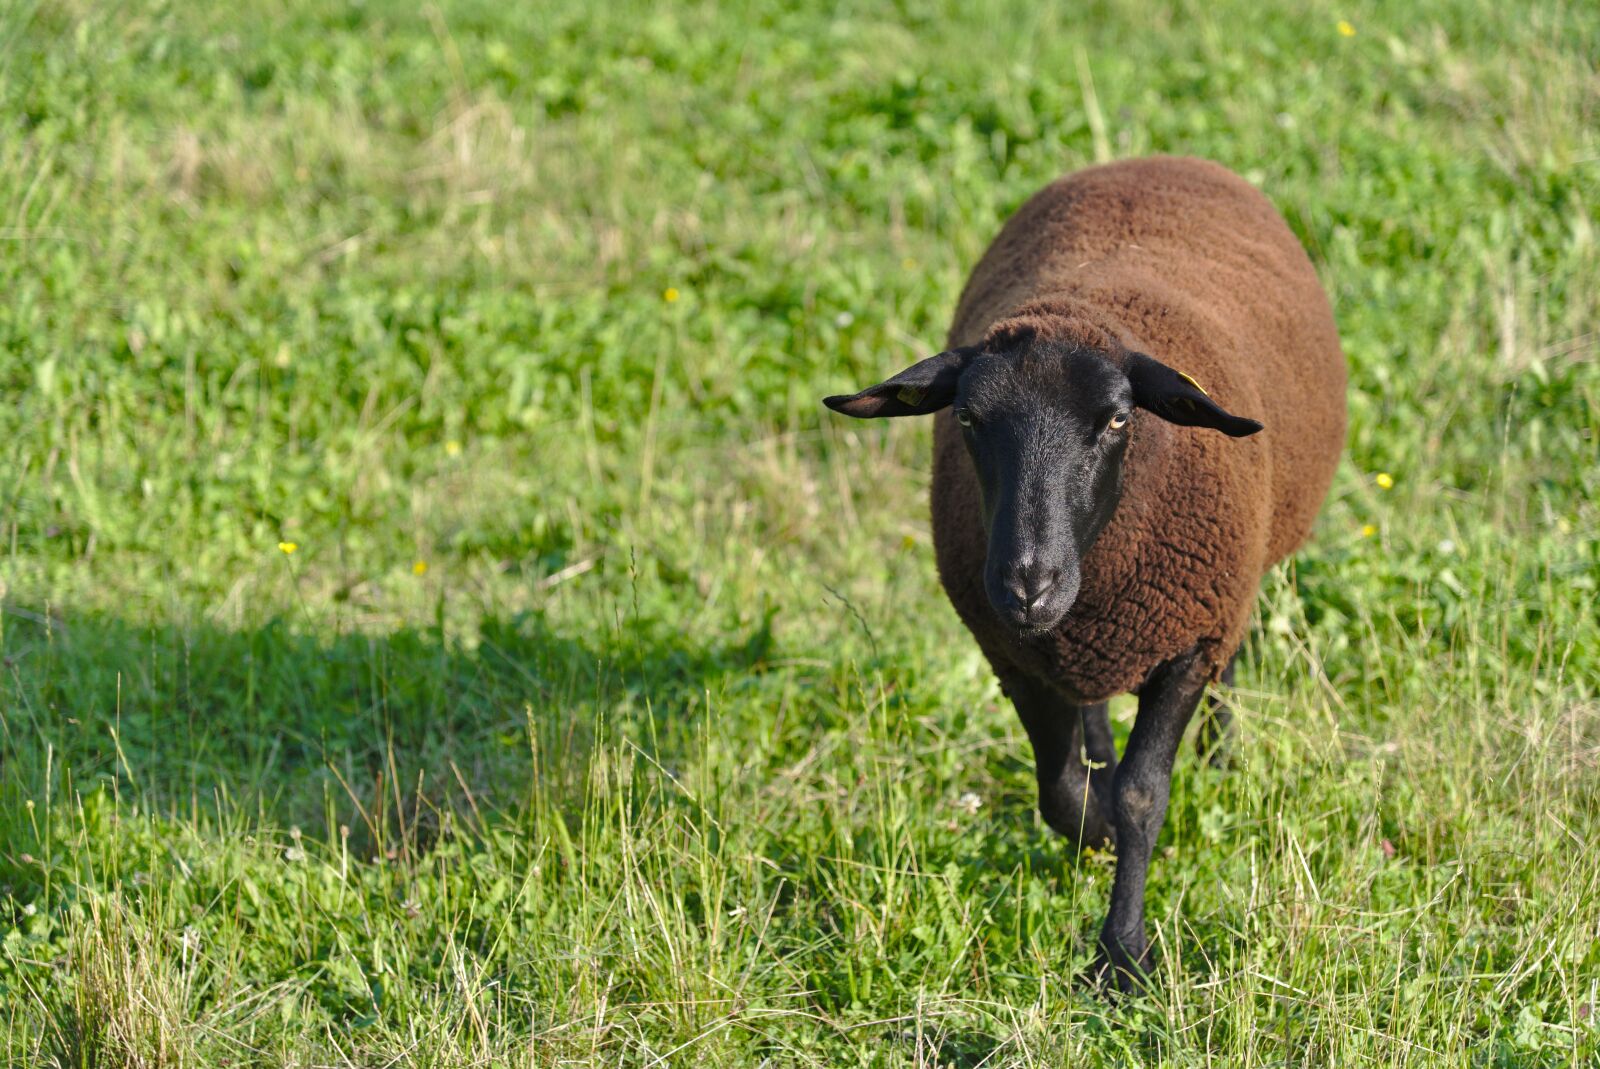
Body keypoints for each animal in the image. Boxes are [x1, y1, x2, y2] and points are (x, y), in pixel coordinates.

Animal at [823, 156, 1347, 988]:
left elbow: (1142, 794)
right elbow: (1061, 788)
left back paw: (1224, 754)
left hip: (1230, 590)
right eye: (966, 418)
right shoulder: (1015, 653)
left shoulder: (1189, 637)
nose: (1027, 583)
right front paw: (1093, 837)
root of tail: (1156, 159)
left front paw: (1123, 954)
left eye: (1118, 418)